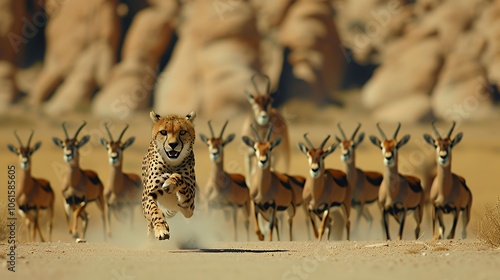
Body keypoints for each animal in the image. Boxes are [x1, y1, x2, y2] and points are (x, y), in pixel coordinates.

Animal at [142, 110, 196, 240]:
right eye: (163, 132)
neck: (171, 164)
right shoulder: (147, 197)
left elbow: (179, 177)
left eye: (182, 132)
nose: (173, 144)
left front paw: (170, 182)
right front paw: (161, 229)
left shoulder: (189, 206)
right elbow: (154, 210)